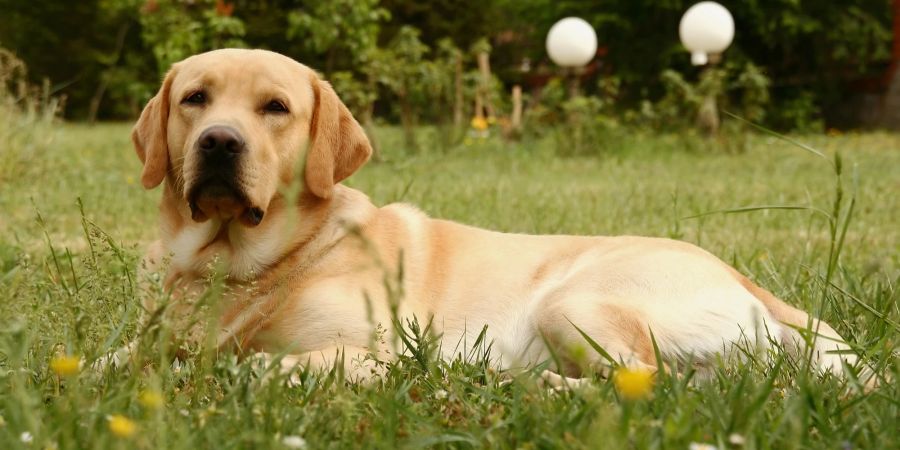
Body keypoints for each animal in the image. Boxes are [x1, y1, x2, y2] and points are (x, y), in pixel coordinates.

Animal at [132, 49, 856, 384]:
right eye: (195, 98)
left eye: (276, 108)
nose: (219, 143)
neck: (244, 264)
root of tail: (743, 279)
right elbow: (122, 357)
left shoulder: (375, 352)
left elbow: (252, 364)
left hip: (574, 304)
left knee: (646, 385)